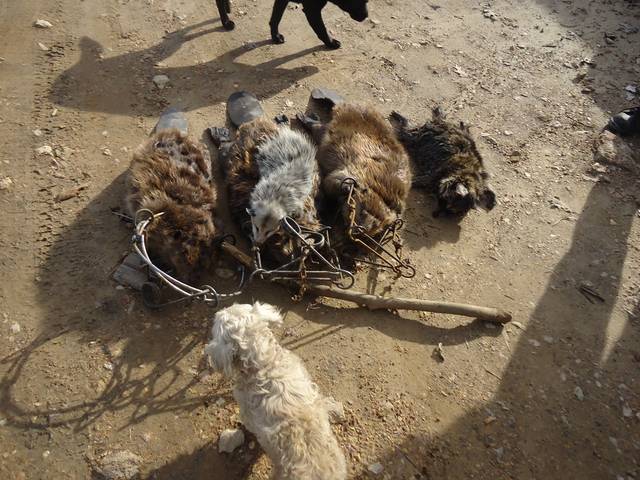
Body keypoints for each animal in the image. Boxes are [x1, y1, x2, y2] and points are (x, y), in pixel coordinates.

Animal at [215, 0, 369, 49]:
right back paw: (226, 21)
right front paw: (331, 43)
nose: (366, 16)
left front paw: (275, 36)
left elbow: (276, 18)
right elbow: (322, 30)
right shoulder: (312, 10)